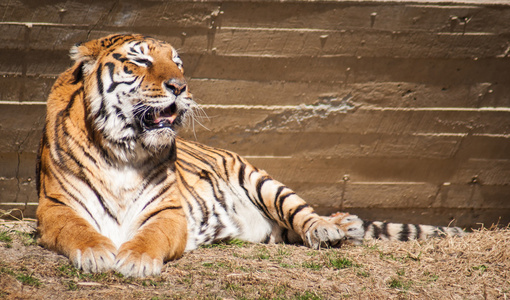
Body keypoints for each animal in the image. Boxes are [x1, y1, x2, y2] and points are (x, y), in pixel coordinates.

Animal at [35, 34, 464, 278]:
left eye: (177, 62)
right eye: (139, 61)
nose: (180, 85)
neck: (123, 149)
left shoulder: (167, 212)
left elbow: (149, 236)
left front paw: (136, 261)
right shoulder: (55, 206)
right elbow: (79, 230)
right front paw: (97, 254)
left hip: (262, 181)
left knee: (304, 213)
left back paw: (331, 228)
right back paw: (347, 225)